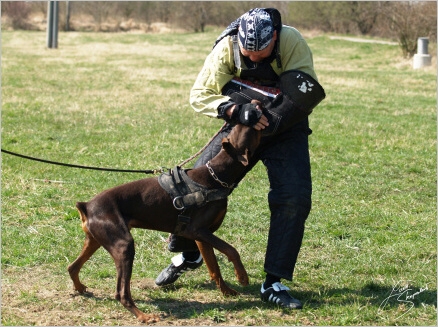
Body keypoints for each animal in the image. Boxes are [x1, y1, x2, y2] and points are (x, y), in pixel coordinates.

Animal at [67, 123, 262, 326]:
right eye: (252, 129)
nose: (256, 112)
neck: (216, 176)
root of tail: (87, 206)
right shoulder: (196, 230)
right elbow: (231, 249)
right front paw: (242, 276)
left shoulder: (202, 235)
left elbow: (214, 267)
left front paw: (227, 291)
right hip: (123, 245)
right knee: (121, 293)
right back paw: (144, 316)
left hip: (95, 240)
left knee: (72, 267)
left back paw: (80, 288)